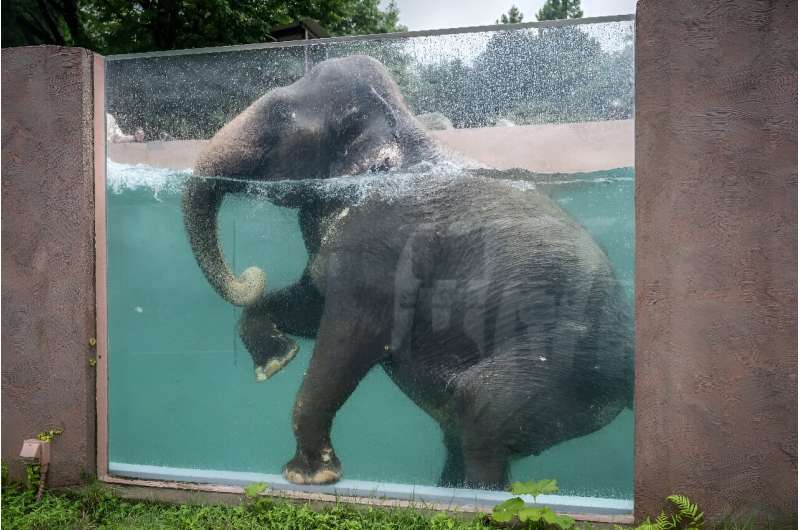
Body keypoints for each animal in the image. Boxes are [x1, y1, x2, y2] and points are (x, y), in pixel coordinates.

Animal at [181, 53, 632, 486]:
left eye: (278, 114)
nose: (250, 274)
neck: (404, 124)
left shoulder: (382, 246)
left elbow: (350, 337)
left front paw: (308, 477)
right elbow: (310, 306)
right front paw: (277, 362)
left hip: (554, 369)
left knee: (481, 413)